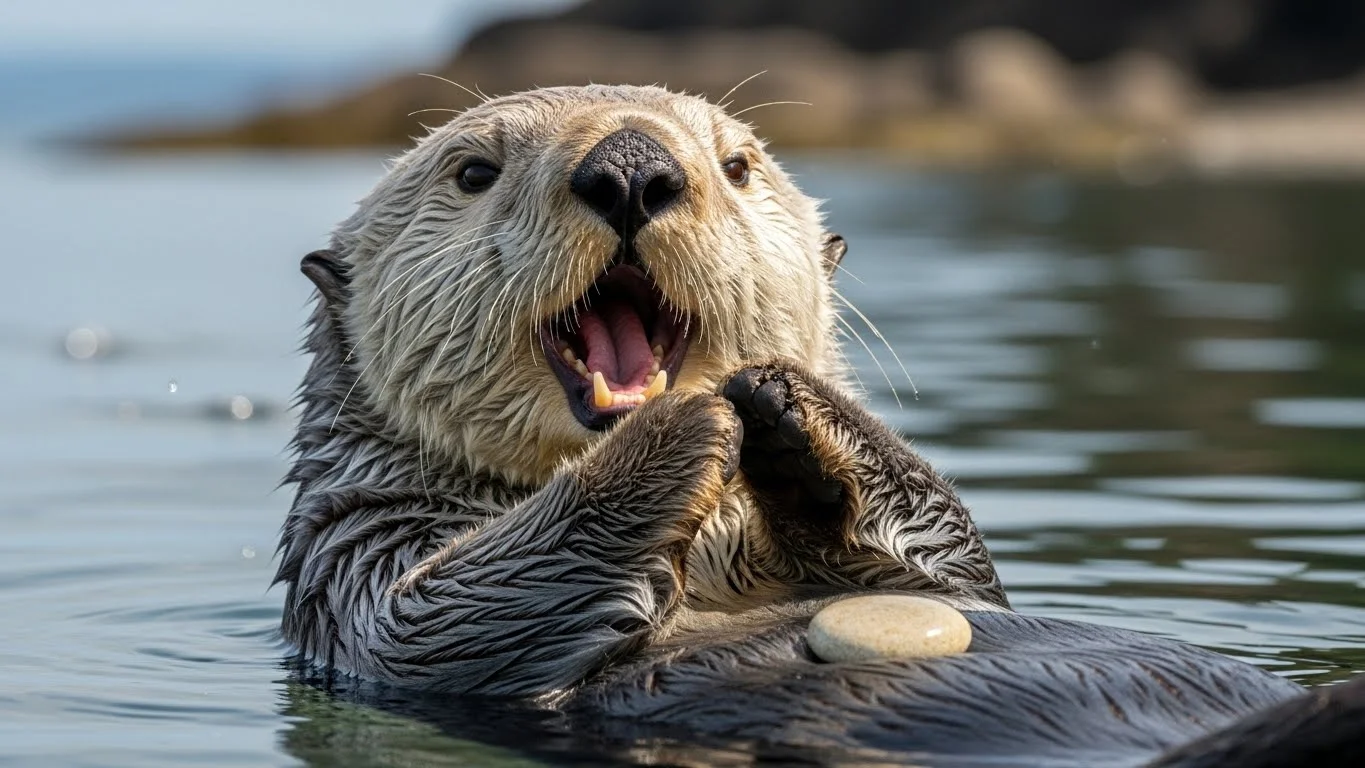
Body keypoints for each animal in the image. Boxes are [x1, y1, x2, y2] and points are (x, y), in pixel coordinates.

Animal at [277, 85, 1364, 766]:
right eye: (472, 172)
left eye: (738, 164)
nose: (630, 167)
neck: (710, 558)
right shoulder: (358, 571)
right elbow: (440, 613)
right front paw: (686, 422)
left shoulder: (933, 575)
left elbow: (953, 558)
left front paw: (784, 397)